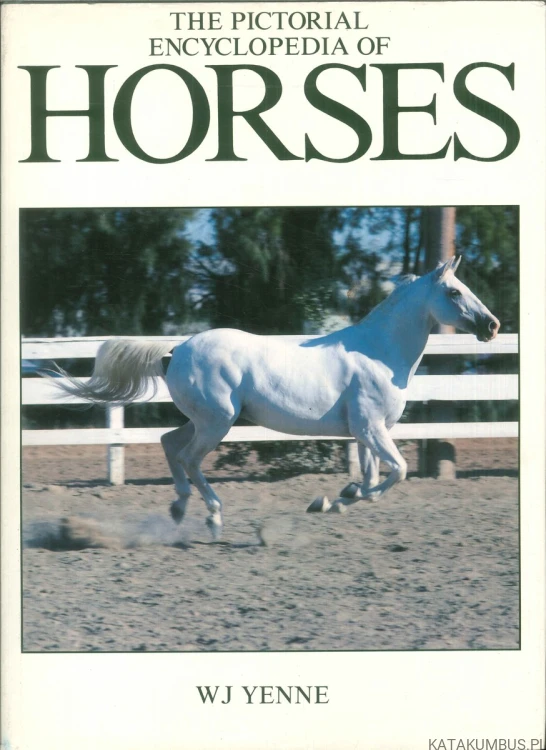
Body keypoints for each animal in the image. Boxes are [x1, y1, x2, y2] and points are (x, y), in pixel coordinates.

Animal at [52, 256, 500, 539]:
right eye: (455, 292)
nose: (492, 326)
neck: (380, 353)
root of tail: (176, 349)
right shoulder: (372, 429)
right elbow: (399, 471)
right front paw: (331, 500)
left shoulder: (366, 431)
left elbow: (374, 477)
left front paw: (337, 499)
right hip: (218, 422)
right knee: (189, 458)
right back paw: (213, 518)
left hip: (204, 419)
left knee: (169, 444)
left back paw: (179, 508)